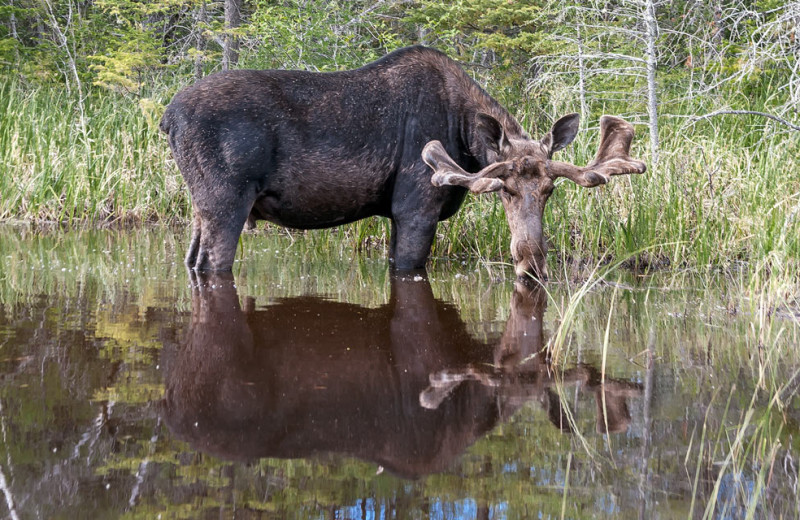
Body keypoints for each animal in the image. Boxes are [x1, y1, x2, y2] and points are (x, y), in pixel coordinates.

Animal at [161, 45, 644, 280]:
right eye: (502, 190)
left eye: (549, 190)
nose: (532, 266)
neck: (463, 137)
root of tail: (168, 118)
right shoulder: (415, 208)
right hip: (226, 202)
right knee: (212, 264)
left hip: (200, 207)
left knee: (192, 260)